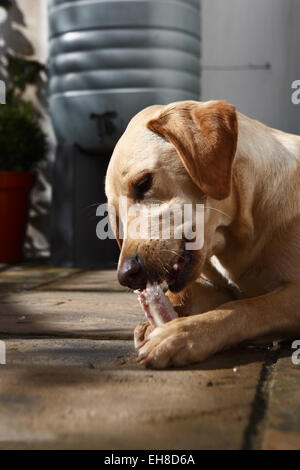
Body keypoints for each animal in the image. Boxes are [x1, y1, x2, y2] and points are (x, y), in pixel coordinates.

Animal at [105, 101, 300, 370]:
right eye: (116, 217)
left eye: (144, 183)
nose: (126, 276)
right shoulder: (211, 284)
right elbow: (185, 292)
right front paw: (158, 320)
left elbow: (246, 306)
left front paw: (181, 333)